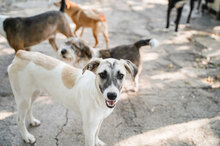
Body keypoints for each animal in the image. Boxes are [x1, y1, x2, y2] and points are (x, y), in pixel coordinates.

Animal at [7, 50, 137, 145]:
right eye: (102, 74)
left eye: (121, 75)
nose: (112, 95)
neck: (97, 95)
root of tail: (21, 53)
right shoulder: (89, 128)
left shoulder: (99, 121)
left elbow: (97, 134)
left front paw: (98, 141)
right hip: (23, 97)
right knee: (19, 119)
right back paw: (26, 136)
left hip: (34, 93)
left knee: (29, 108)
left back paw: (32, 121)